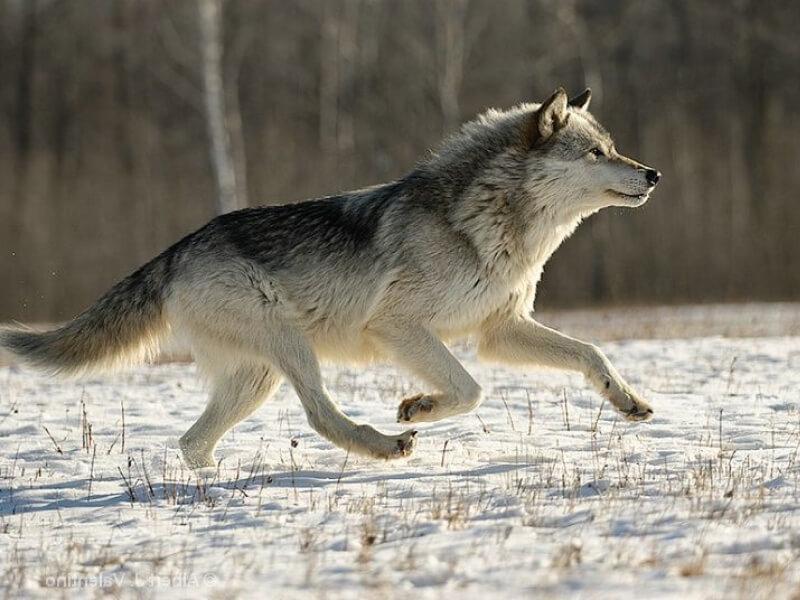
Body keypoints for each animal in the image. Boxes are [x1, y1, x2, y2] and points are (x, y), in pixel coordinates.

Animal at [1, 88, 660, 468]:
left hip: (257, 377)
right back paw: (383, 445)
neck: (487, 225)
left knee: (192, 442)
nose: (653, 173)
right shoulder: (398, 327)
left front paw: (628, 401)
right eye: (597, 154)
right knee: (318, 415)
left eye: (613, 147)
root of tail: (176, 249)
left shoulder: (503, 330)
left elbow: (591, 353)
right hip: (290, 349)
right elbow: (470, 389)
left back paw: (212, 491)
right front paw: (417, 407)